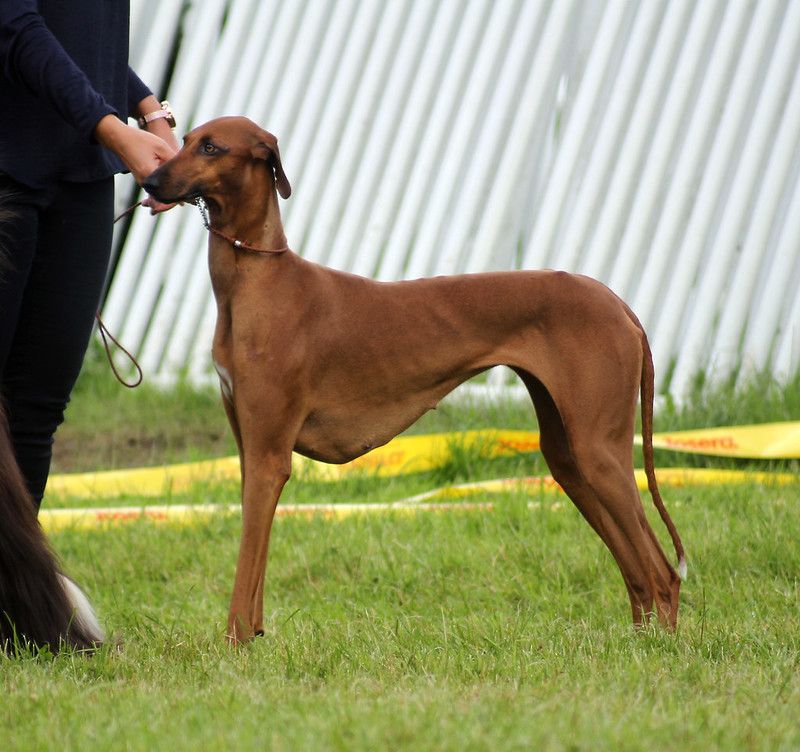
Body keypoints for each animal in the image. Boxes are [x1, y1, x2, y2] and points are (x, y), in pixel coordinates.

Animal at [142, 114, 680, 644]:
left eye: (212, 148)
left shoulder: (269, 458)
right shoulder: (250, 451)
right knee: (638, 572)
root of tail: (617, 302)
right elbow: (256, 566)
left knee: (662, 571)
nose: (149, 180)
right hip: (568, 457)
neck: (257, 279)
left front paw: (234, 646)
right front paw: (254, 639)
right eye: (185, 139)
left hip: (597, 450)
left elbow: (245, 567)